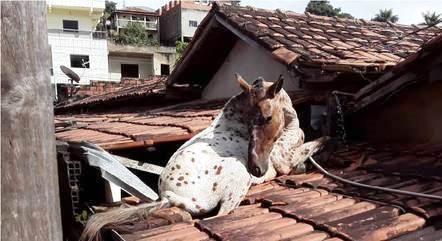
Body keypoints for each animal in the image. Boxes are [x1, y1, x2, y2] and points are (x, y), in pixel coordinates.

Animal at [79, 73, 328, 241]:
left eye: (266, 117)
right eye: (253, 119)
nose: (257, 169)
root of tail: (168, 195)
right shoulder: (284, 159)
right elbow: (316, 142)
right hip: (237, 176)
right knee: (216, 217)